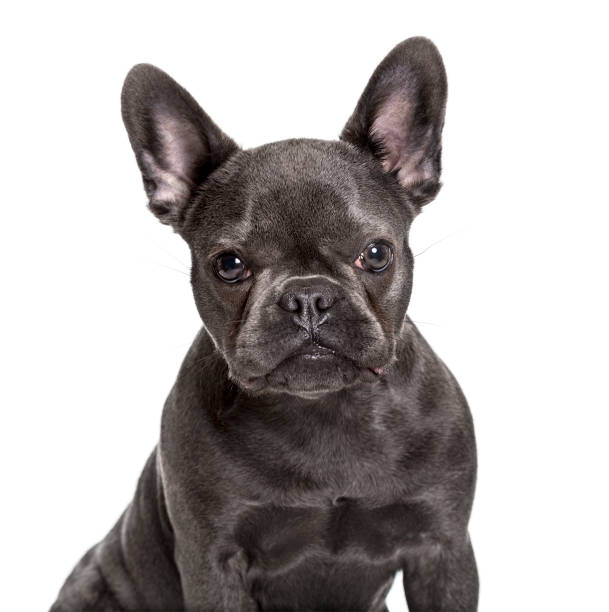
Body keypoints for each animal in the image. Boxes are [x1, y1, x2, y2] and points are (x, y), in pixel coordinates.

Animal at [52, 38, 478, 612]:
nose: (308, 296)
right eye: (230, 265)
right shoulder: (215, 562)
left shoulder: (443, 548)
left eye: (376, 253)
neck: (325, 409)